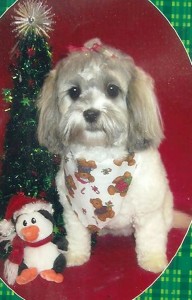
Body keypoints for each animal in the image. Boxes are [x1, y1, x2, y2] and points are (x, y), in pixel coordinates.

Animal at [36, 38, 190, 274]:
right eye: (74, 91)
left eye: (112, 89)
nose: (90, 113)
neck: (99, 160)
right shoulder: (72, 211)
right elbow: (77, 237)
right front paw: (76, 256)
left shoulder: (148, 210)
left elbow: (151, 237)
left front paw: (153, 261)